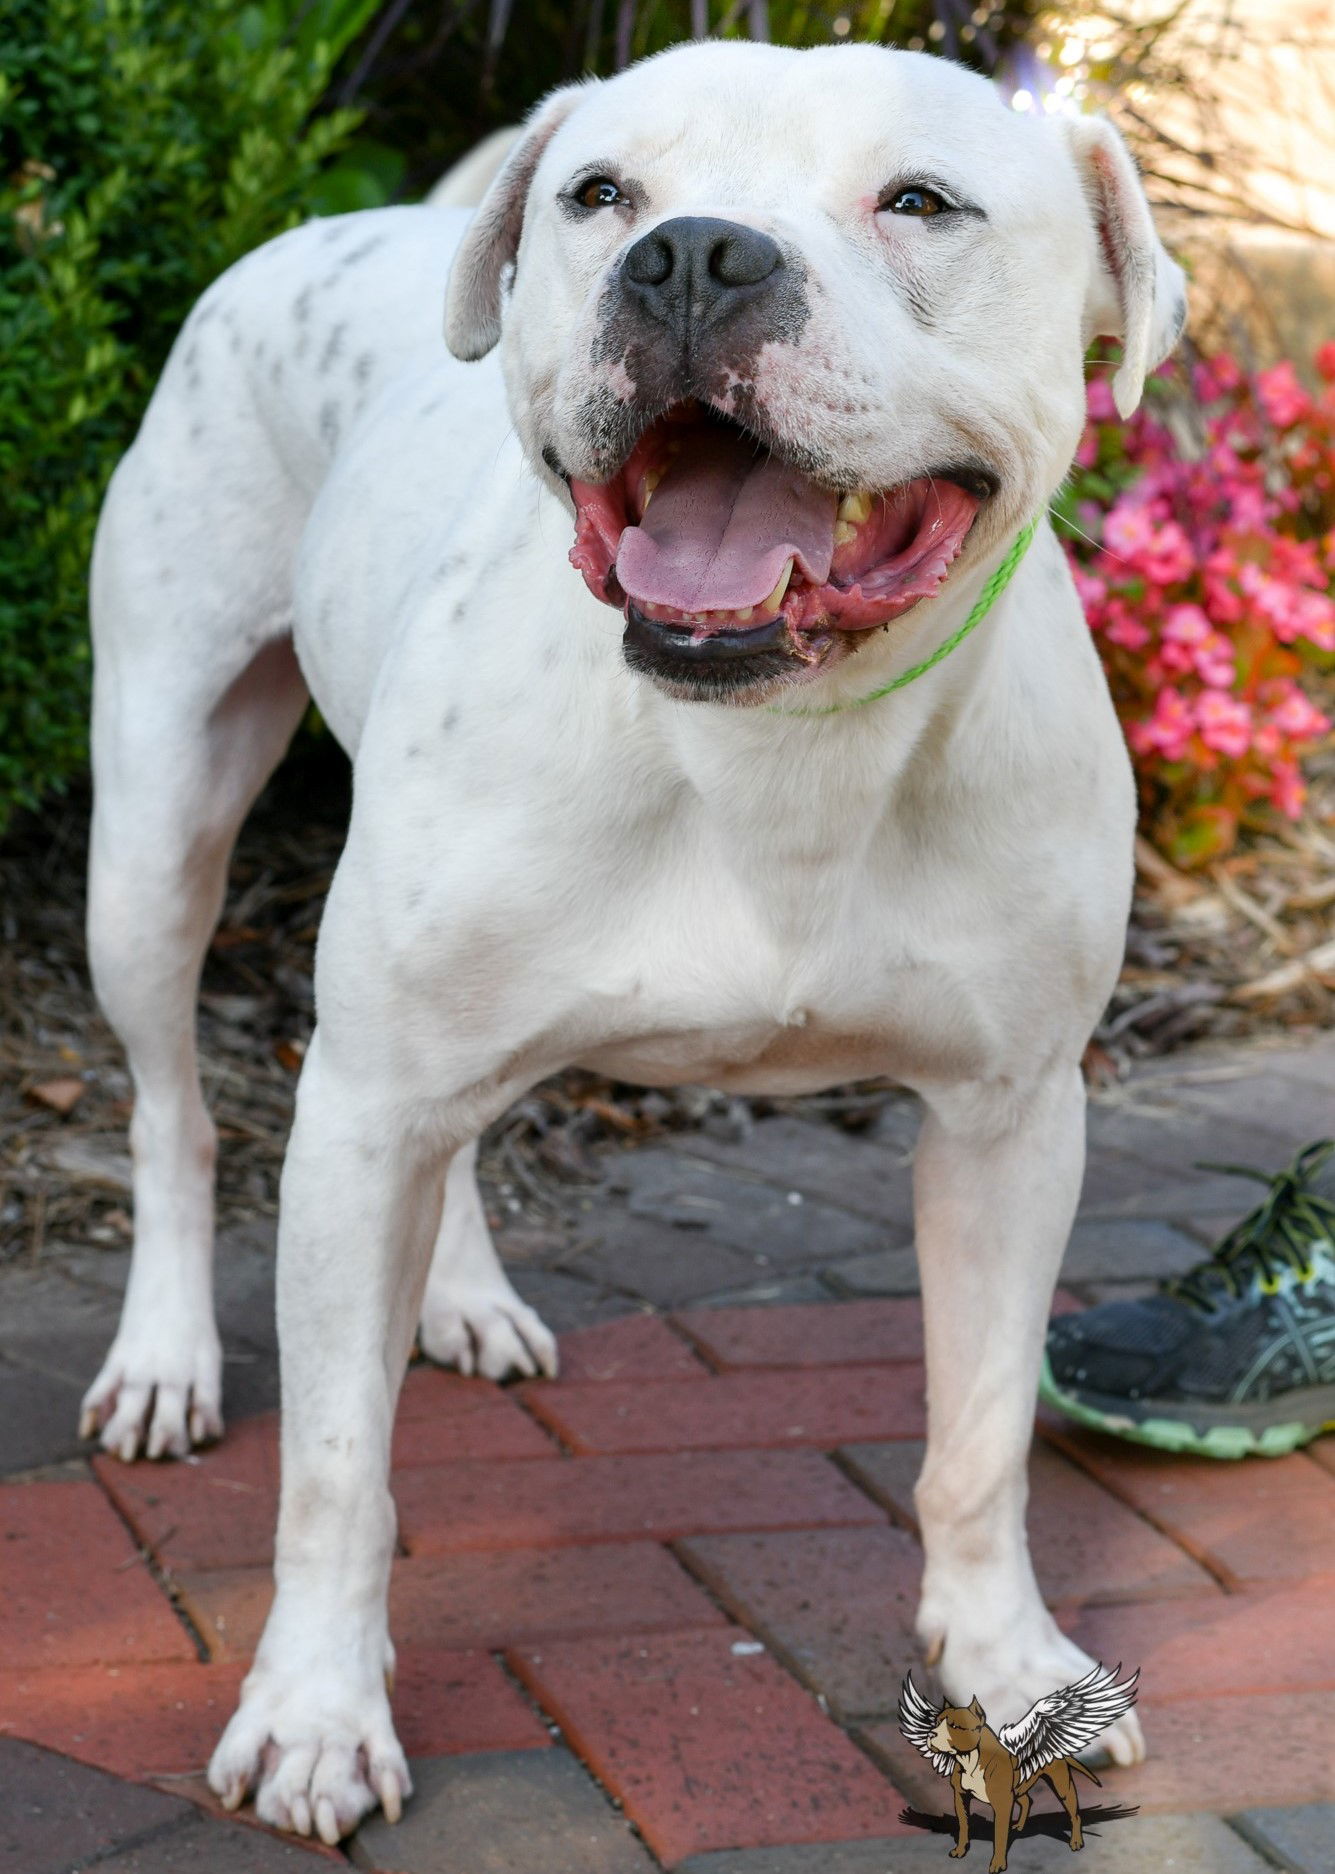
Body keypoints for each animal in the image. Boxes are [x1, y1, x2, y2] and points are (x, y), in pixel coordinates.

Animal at [86, 40, 1177, 1844]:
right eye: (602, 194)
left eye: (921, 201)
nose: (693, 257)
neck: (776, 743)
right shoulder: (362, 1101)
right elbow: (335, 1466)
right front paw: (314, 1711)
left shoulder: (1012, 1117)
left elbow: (981, 1431)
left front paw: (1008, 1671)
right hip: (154, 832)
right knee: (174, 1105)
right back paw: (166, 1355)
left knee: (455, 1139)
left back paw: (459, 1296)